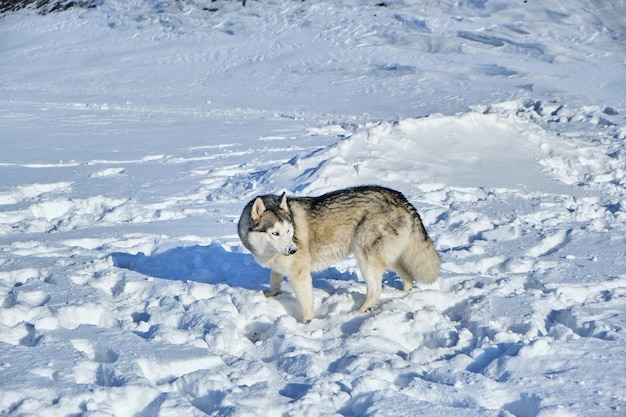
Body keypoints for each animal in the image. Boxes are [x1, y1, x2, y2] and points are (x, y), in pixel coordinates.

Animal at [238, 185, 438, 322]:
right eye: (275, 233)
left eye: (288, 231)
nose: (293, 250)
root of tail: (399, 196)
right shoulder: (279, 264)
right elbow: (274, 279)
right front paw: (272, 294)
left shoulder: (300, 275)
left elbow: (306, 305)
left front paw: (306, 324)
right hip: (388, 257)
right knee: (408, 276)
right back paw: (402, 295)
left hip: (365, 256)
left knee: (376, 290)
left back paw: (357, 312)